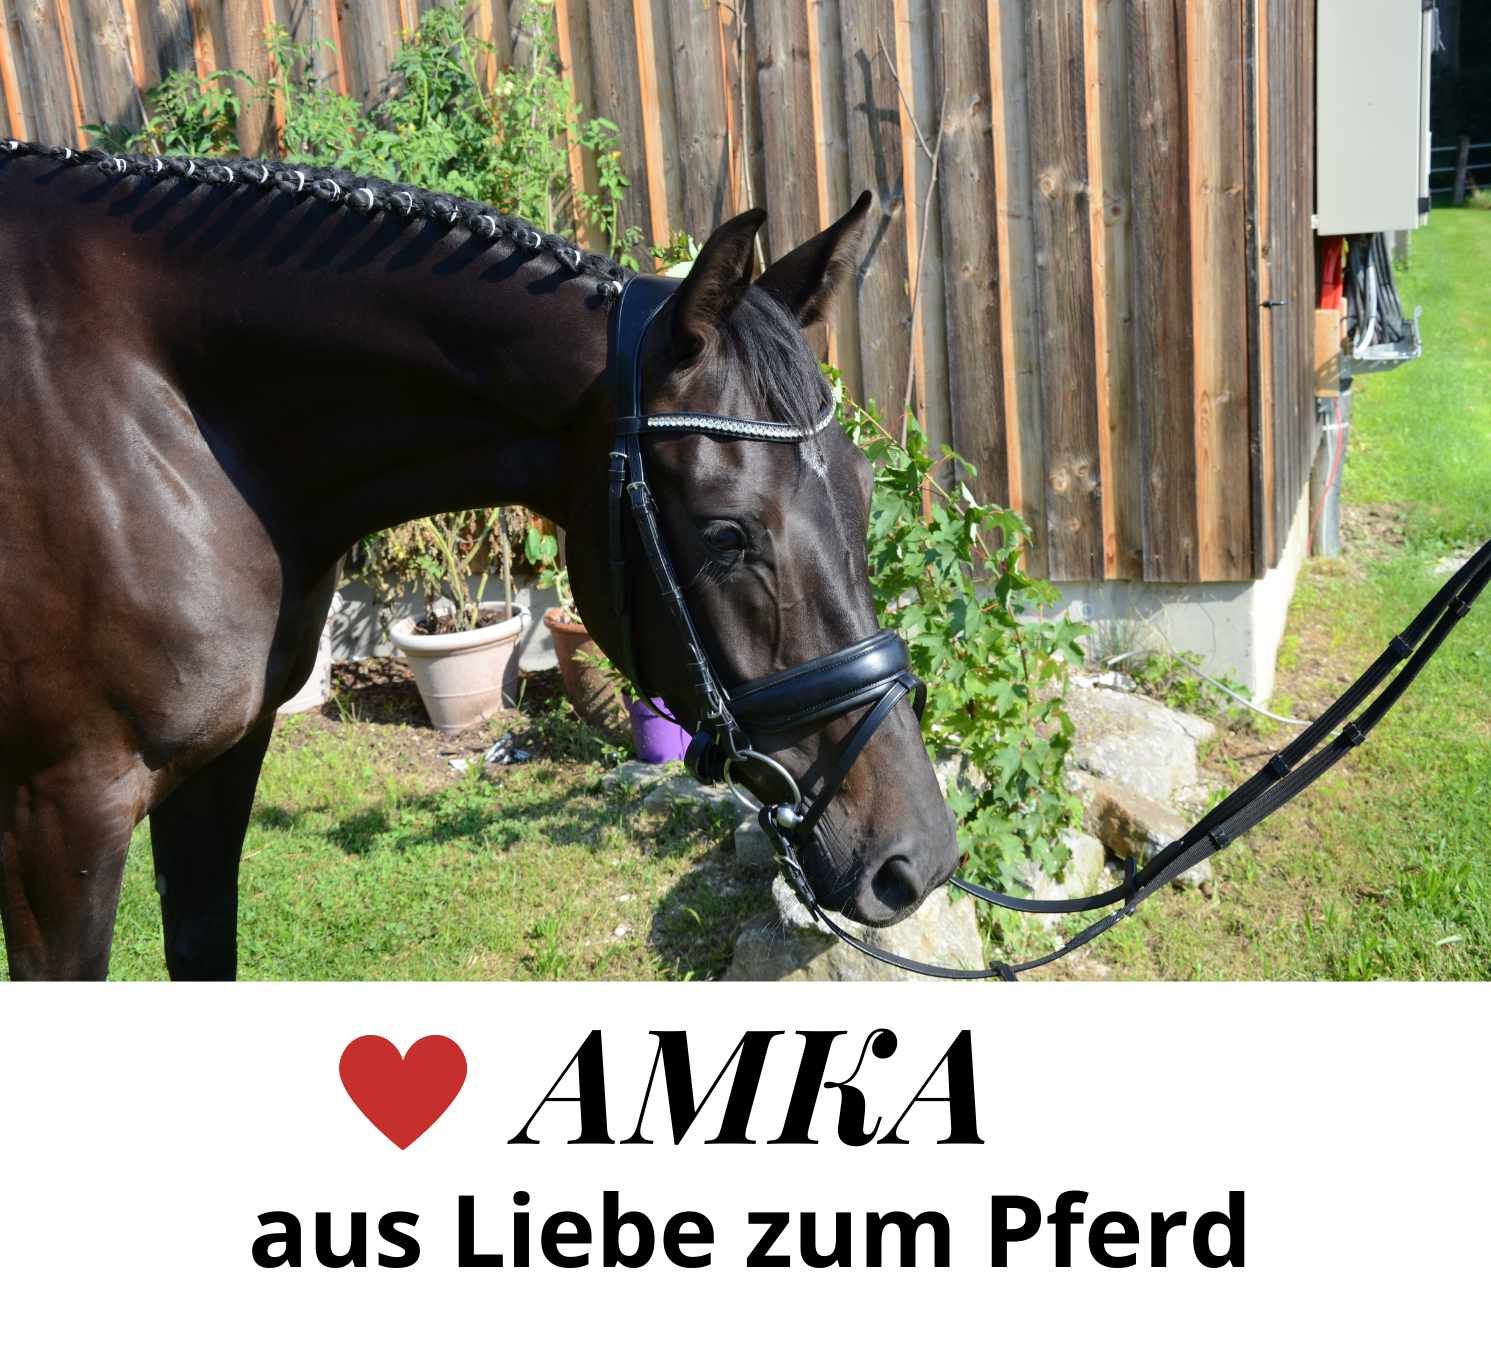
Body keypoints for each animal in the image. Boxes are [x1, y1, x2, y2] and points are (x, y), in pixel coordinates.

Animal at [0, 141, 960, 981]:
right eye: (727, 534)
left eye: (864, 494)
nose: (918, 857)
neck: (152, 414)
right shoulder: (62, 813)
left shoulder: (220, 762)